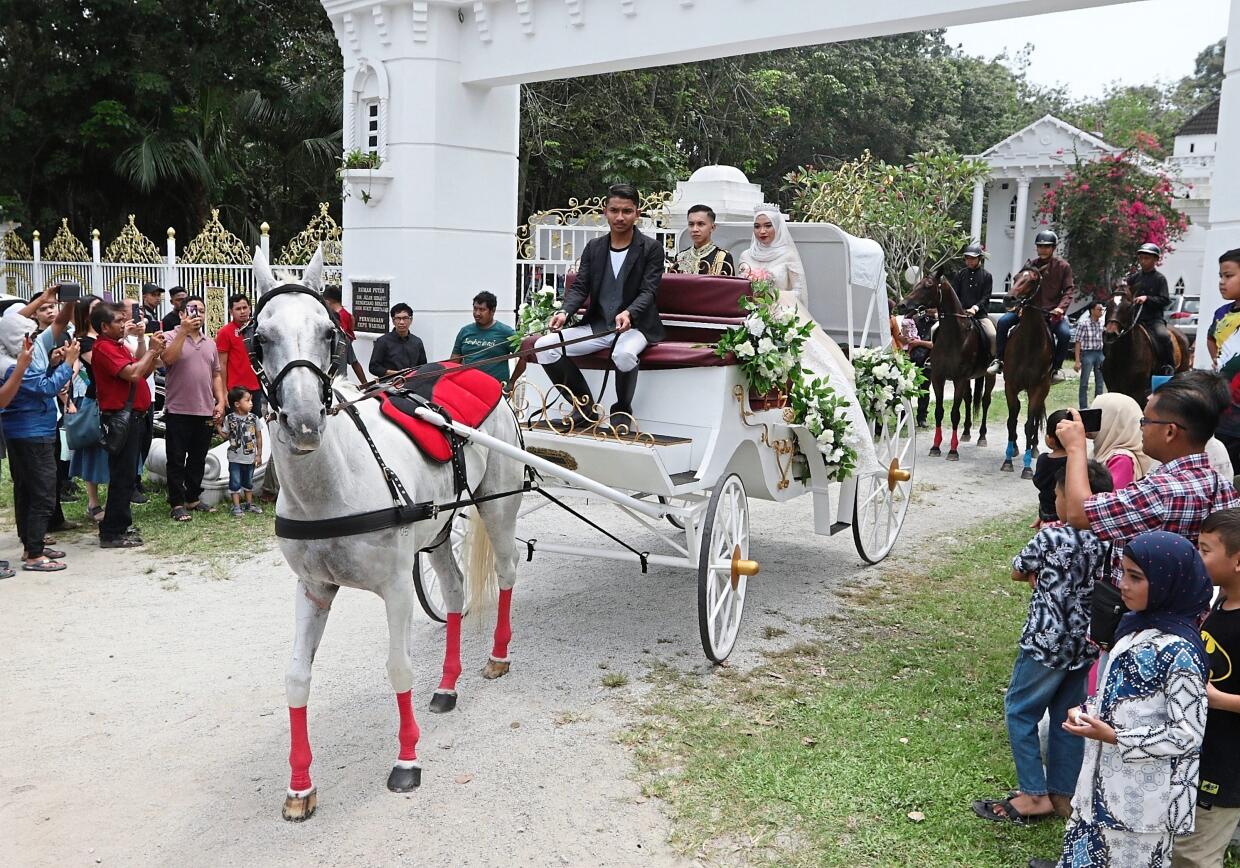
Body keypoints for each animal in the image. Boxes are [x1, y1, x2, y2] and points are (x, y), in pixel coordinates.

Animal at [249, 245, 525, 818]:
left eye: (328, 332)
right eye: (261, 338)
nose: (304, 422)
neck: (337, 484)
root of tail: (478, 374)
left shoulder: (396, 587)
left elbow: (398, 668)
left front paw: (407, 760)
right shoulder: (313, 589)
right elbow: (296, 678)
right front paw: (300, 785)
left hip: (499, 504)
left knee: (508, 570)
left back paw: (498, 654)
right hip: (439, 527)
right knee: (455, 592)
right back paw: (447, 684)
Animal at [897, 272, 992, 461]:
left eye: (928, 286)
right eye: (916, 284)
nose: (902, 305)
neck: (954, 337)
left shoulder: (959, 379)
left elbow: (954, 414)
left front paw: (953, 451)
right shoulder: (938, 378)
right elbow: (939, 412)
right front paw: (935, 447)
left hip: (989, 376)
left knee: (985, 402)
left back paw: (982, 437)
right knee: (969, 399)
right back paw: (966, 432)